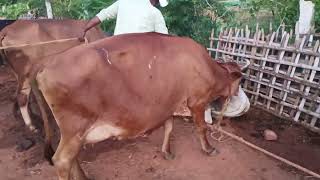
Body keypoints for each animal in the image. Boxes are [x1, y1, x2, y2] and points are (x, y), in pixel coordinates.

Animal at [33, 32, 241, 180]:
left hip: (73, 133)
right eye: (240, 81)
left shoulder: (168, 104)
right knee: (61, 160)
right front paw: (209, 149)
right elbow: (201, 128)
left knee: (71, 158)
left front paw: (167, 152)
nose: (237, 93)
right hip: (75, 128)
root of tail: (45, 65)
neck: (209, 67)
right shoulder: (197, 101)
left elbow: (169, 127)